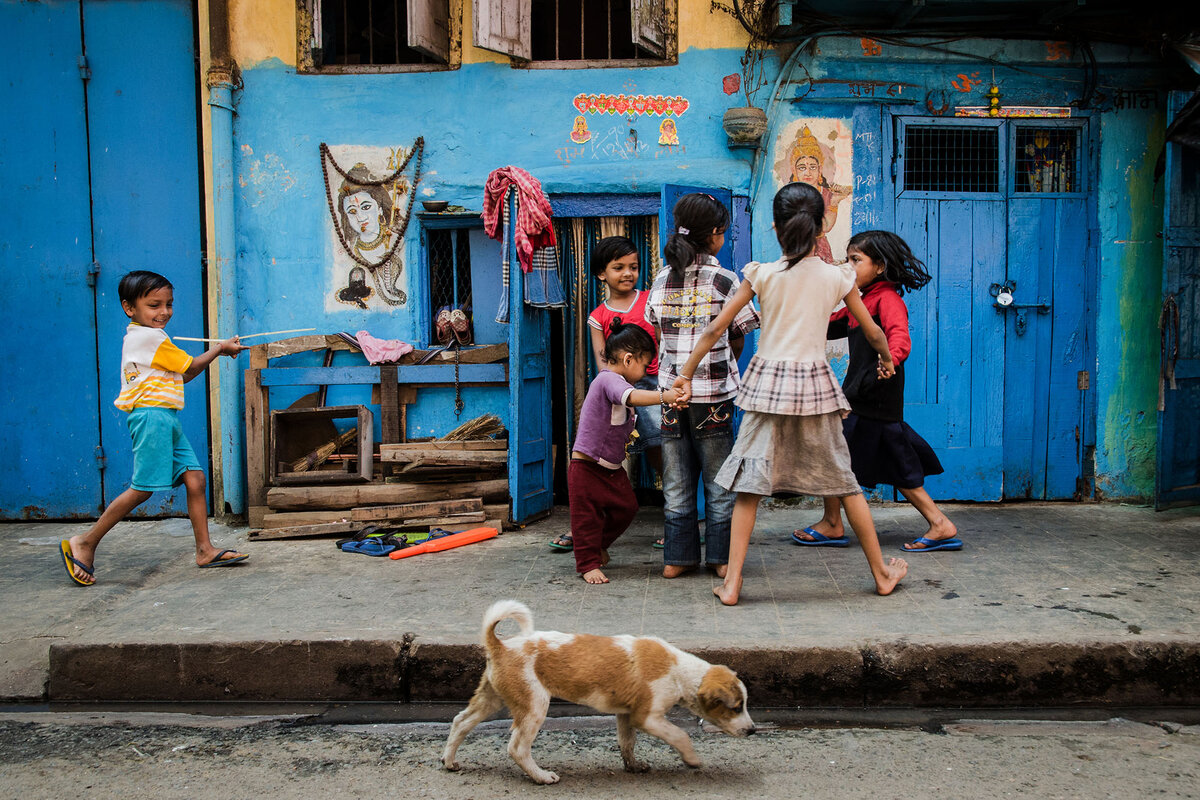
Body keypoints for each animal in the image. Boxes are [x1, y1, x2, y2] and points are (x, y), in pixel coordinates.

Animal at [441, 599, 758, 782]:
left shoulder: (626, 715)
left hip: (491, 698)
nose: (753, 731)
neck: (681, 670)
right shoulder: (648, 717)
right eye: (735, 707)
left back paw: (449, 761)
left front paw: (633, 767)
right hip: (534, 705)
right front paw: (691, 759)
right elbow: (680, 735)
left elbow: (627, 743)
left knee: (460, 722)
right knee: (517, 747)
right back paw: (541, 776)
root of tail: (500, 646)